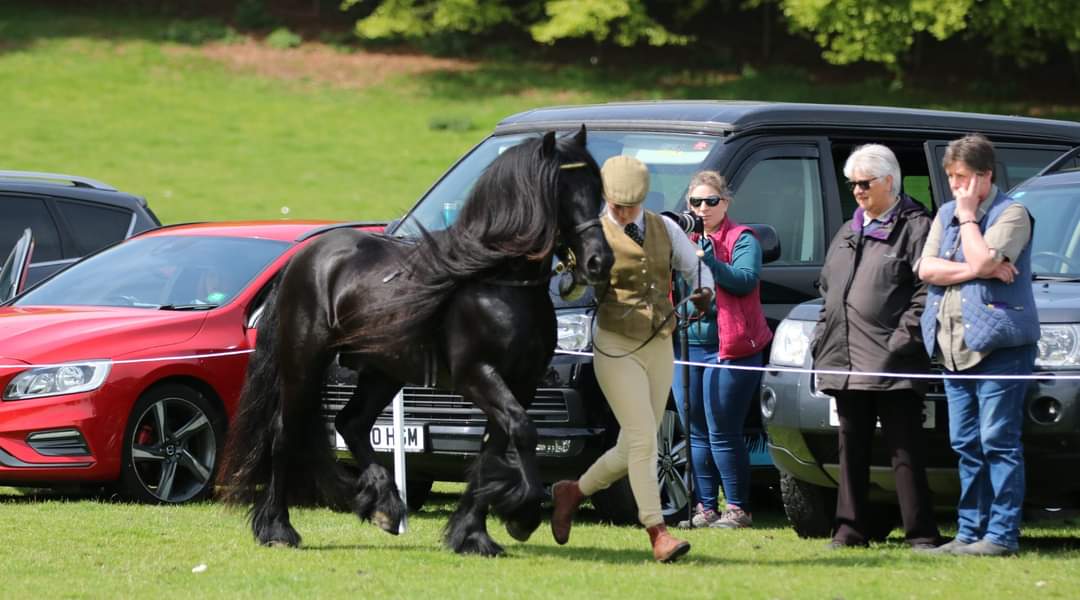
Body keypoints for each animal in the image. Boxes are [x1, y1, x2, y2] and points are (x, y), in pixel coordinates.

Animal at [214, 126, 613, 556]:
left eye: (597, 188)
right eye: (560, 189)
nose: (599, 261)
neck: (497, 282)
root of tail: (300, 259)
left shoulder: (521, 382)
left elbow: (493, 448)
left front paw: (471, 533)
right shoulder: (478, 374)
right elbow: (523, 431)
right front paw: (522, 514)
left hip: (381, 371)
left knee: (351, 423)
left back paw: (384, 507)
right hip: (304, 364)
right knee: (285, 433)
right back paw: (277, 528)